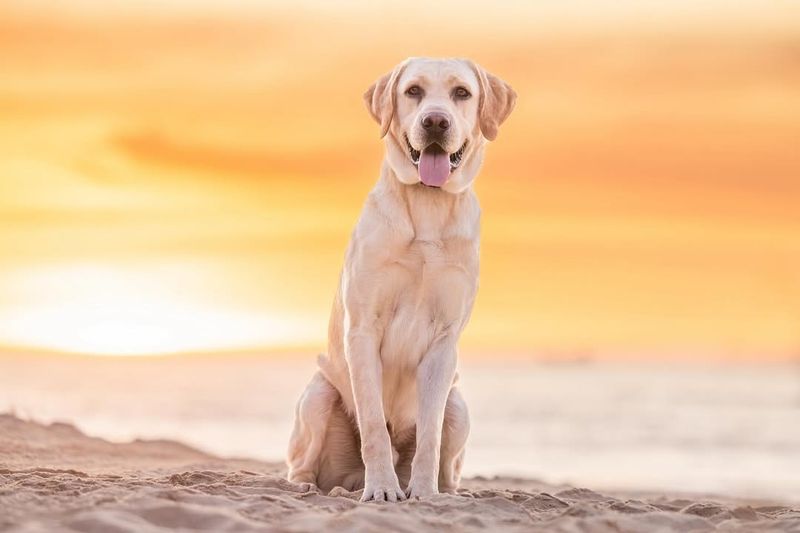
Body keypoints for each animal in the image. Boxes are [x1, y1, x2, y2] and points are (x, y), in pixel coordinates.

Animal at [288, 57, 520, 498]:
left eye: (462, 93)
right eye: (413, 91)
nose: (435, 121)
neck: (427, 204)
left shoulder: (444, 341)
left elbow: (430, 434)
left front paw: (424, 493)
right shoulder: (362, 330)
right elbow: (374, 425)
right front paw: (381, 487)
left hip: (458, 406)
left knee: (447, 460)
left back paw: (445, 490)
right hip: (319, 394)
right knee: (302, 464)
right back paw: (316, 487)